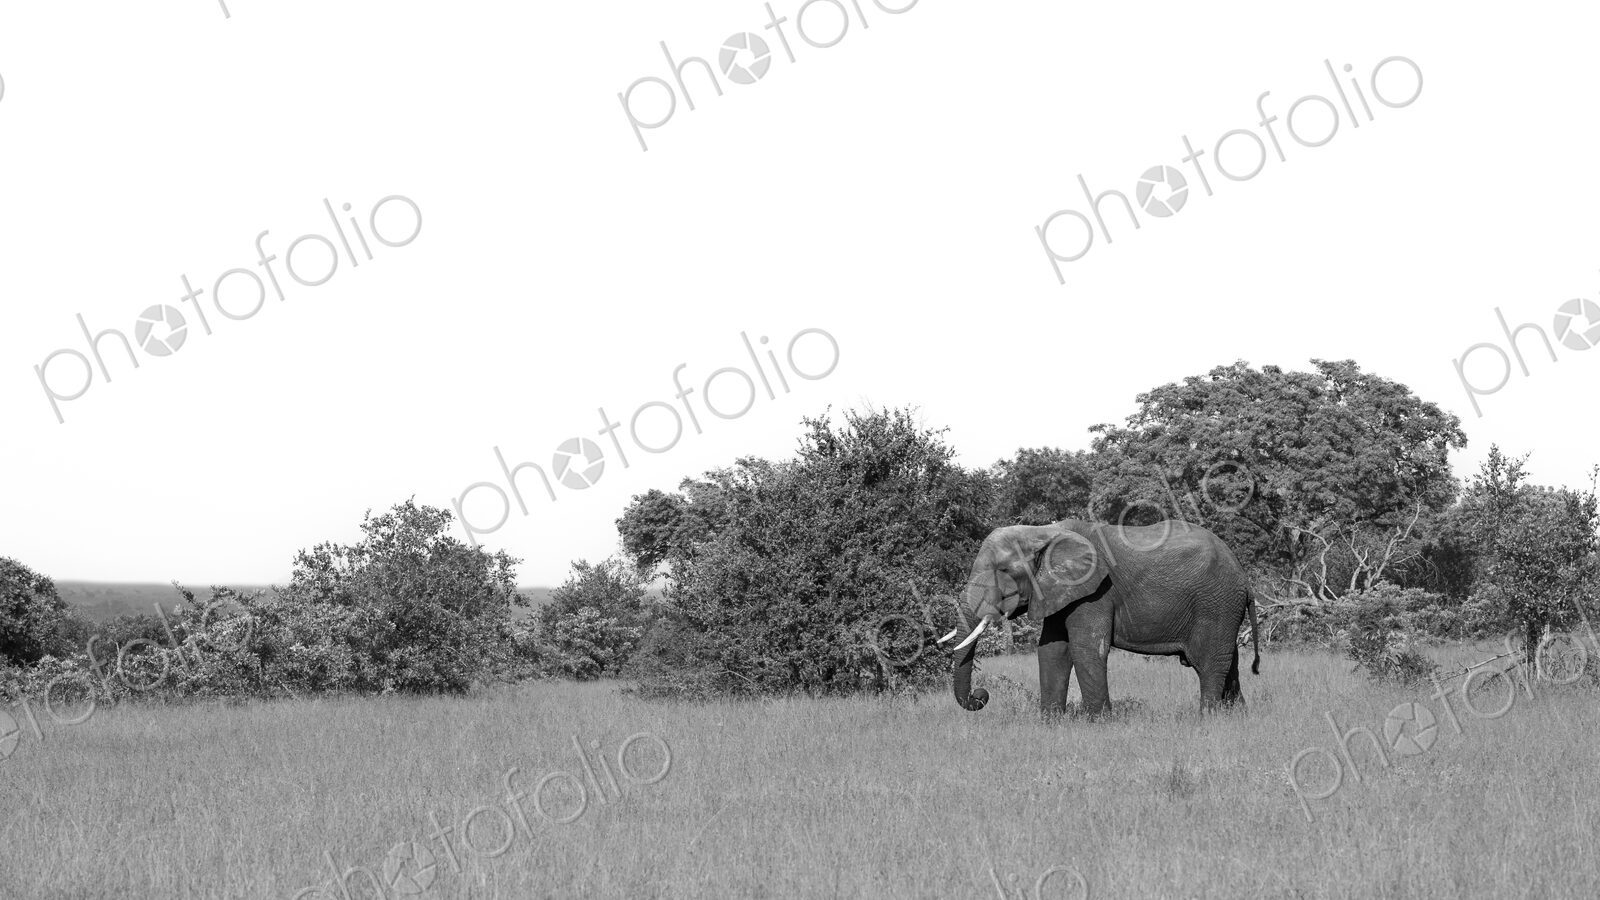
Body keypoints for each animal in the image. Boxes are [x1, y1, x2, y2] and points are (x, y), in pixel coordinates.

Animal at [946, 518, 1261, 718]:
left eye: (1003, 570)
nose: (980, 695)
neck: (1044, 532)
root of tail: (1245, 580)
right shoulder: (1060, 591)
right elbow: (1051, 650)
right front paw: (1050, 722)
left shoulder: (1095, 591)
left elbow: (1087, 649)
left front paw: (1098, 723)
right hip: (1223, 605)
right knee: (1229, 660)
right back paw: (1238, 717)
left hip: (1216, 602)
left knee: (1209, 662)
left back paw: (1207, 719)